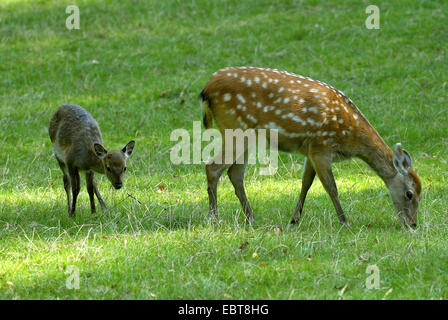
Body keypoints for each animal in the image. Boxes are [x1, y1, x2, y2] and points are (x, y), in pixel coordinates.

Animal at [201, 67, 422, 228]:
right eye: (410, 193)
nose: (413, 224)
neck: (350, 136)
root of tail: (206, 89)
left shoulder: (310, 150)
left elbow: (306, 182)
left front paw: (294, 219)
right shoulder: (321, 147)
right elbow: (331, 187)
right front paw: (345, 221)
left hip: (247, 136)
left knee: (234, 173)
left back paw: (251, 217)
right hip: (235, 128)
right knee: (213, 167)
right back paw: (214, 219)